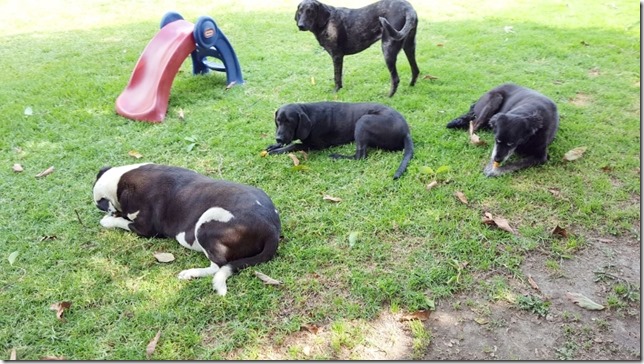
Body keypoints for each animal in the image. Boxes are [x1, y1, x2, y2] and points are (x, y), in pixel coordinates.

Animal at [92, 164, 280, 296]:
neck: (120, 182)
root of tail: (270, 228)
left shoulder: (145, 228)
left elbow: (120, 222)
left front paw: (107, 220)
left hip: (205, 223)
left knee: (218, 266)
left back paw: (191, 273)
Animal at [266, 101, 412, 179]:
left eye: (290, 122)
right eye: (278, 121)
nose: (278, 138)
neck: (308, 113)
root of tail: (406, 131)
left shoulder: (316, 145)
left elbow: (294, 145)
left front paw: (277, 151)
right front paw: (273, 146)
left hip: (363, 121)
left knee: (360, 156)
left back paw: (337, 156)